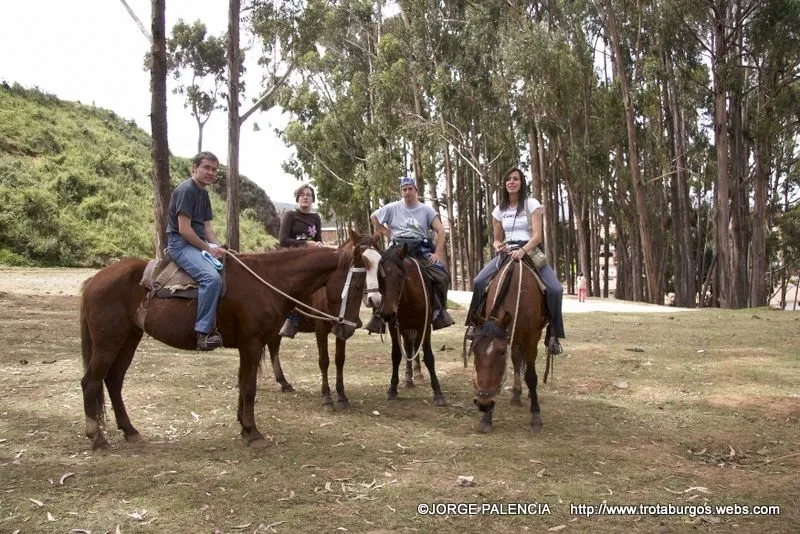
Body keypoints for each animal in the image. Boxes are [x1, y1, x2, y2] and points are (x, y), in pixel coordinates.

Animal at [79, 232, 368, 450]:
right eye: (357, 286)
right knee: (91, 382)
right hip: (108, 343)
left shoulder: (248, 346)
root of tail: (94, 280)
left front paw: (243, 426)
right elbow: (249, 388)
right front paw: (253, 432)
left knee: (113, 381)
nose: (349, 328)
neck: (267, 281)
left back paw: (130, 430)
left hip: (129, 339)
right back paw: (97, 436)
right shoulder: (252, 344)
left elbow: (243, 384)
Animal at [266, 236, 384, 410]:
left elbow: (340, 359)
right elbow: (324, 361)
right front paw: (327, 397)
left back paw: (283, 382)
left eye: (379, 263)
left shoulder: (343, 328)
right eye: (363, 262)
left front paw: (342, 396)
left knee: (273, 345)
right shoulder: (320, 329)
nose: (374, 299)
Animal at [376, 246, 446, 406]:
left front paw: (438, 393)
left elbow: (429, 357)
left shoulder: (424, 327)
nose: (387, 314)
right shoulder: (394, 327)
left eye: (401, 275)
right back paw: (408, 378)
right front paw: (392, 389)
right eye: (380, 276)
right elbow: (396, 355)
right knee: (408, 348)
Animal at [468, 258, 552, 436]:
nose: (483, 403)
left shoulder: (531, 339)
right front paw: (486, 419)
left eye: (501, 353)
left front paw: (536, 418)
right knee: (516, 359)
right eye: (475, 351)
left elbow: (531, 376)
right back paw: (516, 394)